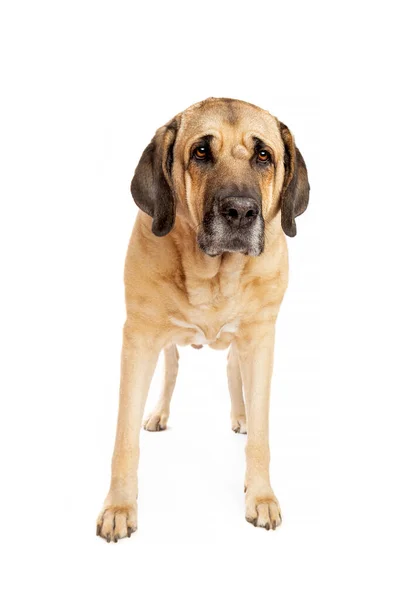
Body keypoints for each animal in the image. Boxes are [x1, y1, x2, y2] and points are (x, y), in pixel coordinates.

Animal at [96, 96, 310, 540]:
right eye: (200, 152)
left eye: (264, 155)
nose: (240, 212)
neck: (215, 276)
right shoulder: (138, 338)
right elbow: (124, 437)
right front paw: (119, 506)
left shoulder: (260, 339)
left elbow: (261, 433)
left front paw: (261, 496)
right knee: (172, 367)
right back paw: (158, 413)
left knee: (232, 370)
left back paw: (240, 417)